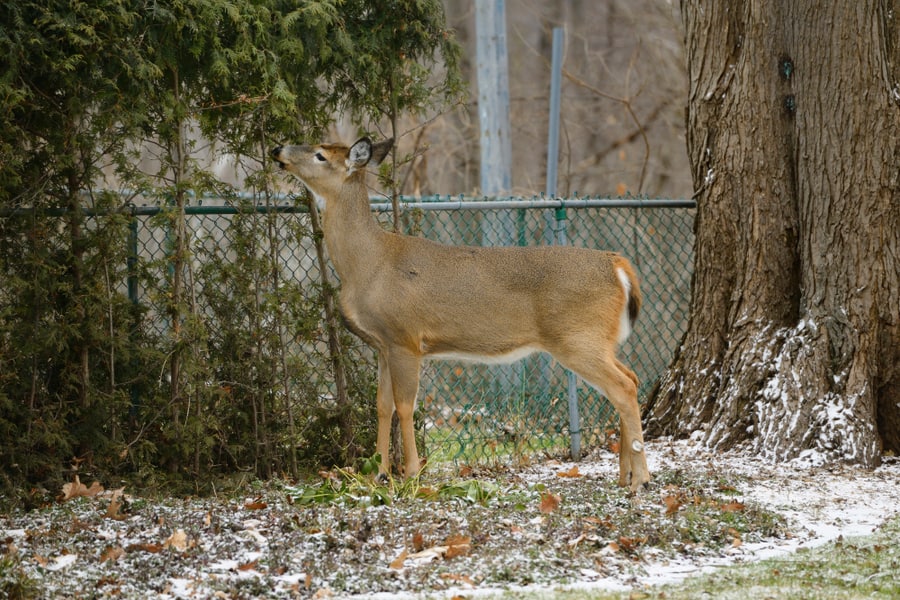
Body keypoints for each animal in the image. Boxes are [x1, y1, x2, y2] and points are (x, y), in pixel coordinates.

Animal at [270, 137, 652, 492]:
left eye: (320, 155)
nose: (277, 150)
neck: (369, 265)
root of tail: (617, 264)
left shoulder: (406, 339)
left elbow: (406, 407)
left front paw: (411, 473)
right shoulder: (382, 345)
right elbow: (382, 405)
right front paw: (377, 474)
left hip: (576, 338)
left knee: (623, 387)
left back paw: (641, 479)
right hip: (596, 340)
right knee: (631, 378)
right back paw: (625, 475)